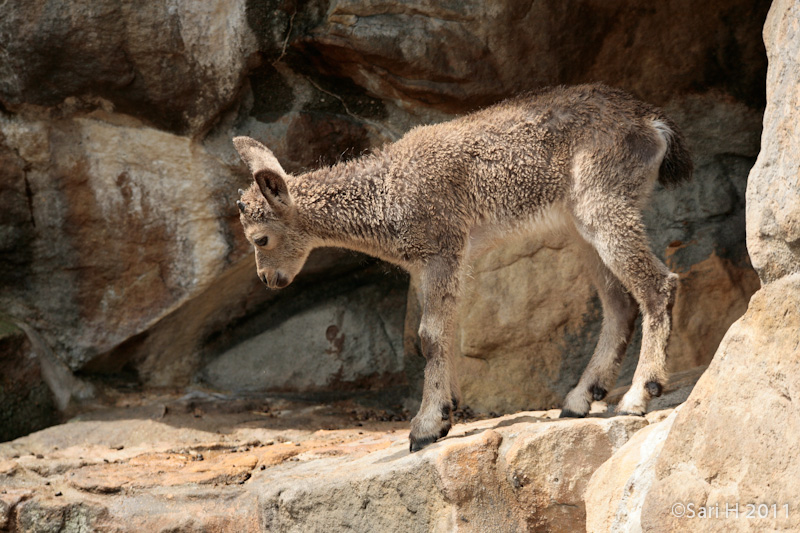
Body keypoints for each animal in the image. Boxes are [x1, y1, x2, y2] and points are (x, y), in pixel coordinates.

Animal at [231, 83, 688, 448]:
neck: (387, 196)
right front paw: (448, 408)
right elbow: (441, 333)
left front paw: (426, 427)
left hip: (604, 203)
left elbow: (430, 335)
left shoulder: (442, 248)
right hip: (581, 226)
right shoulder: (434, 264)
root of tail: (653, 123)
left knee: (658, 285)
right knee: (619, 304)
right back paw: (579, 399)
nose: (270, 279)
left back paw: (638, 396)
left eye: (260, 238)